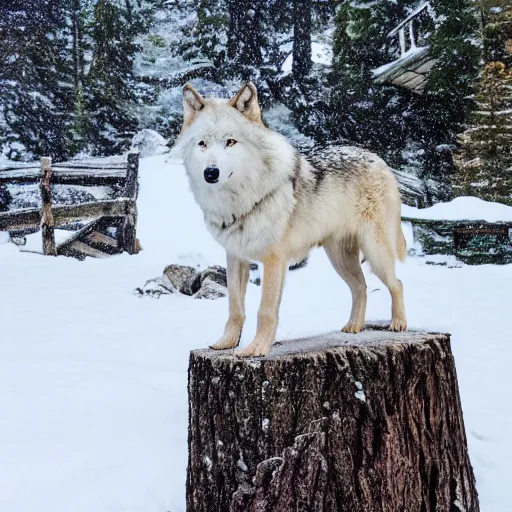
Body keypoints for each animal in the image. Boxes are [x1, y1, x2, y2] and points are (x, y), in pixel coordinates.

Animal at [178, 82, 406, 358]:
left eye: (230, 142)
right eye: (202, 143)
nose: (211, 173)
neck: (242, 200)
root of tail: (378, 158)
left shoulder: (274, 260)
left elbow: (265, 310)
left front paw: (256, 348)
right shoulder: (235, 258)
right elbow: (235, 308)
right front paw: (227, 343)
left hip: (375, 251)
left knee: (397, 283)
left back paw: (398, 324)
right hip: (340, 259)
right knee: (360, 287)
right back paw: (353, 327)